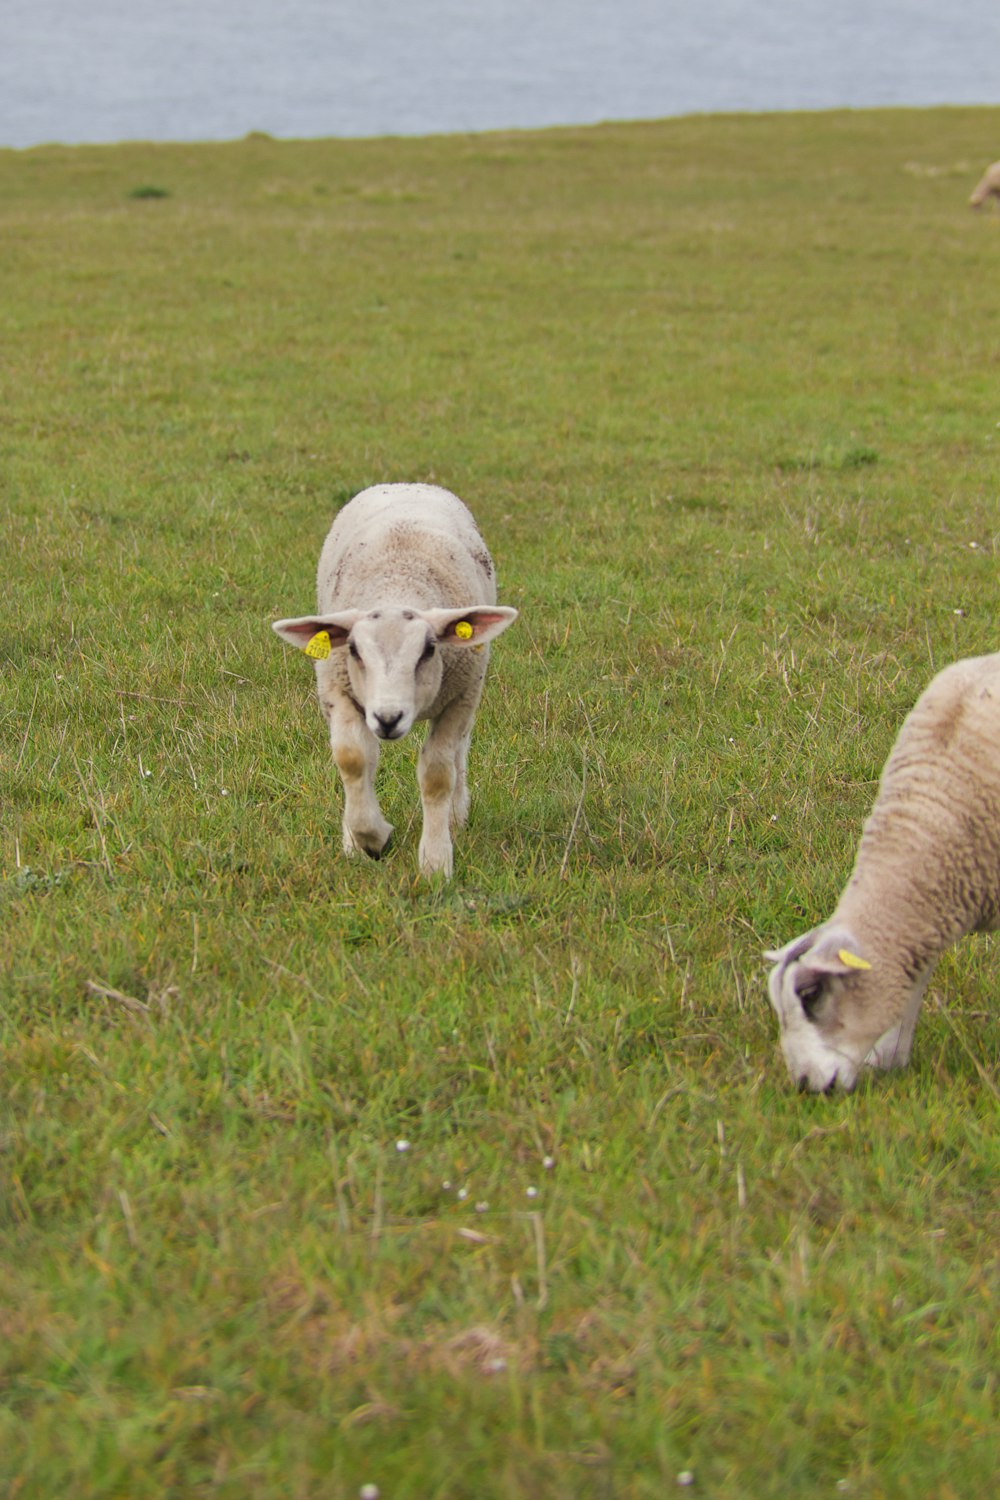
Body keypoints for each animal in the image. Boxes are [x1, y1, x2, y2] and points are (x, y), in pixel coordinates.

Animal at [269, 480, 521, 876]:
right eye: (353, 649)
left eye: (430, 649)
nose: (389, 718)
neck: (398, 582)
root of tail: (409, 484)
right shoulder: (338, 690)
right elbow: (352, 758)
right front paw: (370, 837)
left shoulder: (459, 697)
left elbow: (437, 775)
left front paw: (435, 861)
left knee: (459, 753)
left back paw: (455, 816)